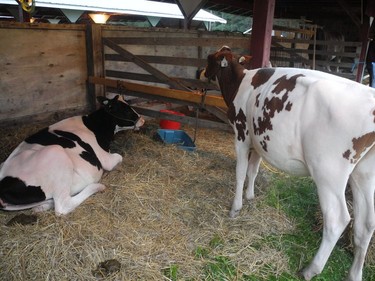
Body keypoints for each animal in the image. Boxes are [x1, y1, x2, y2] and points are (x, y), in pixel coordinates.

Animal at [0, 95, 144, 215]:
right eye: (125, 110)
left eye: (128, 103)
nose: (142, 119)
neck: (94, 125)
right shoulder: (105, 158)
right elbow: (119, 156)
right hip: (55, 153)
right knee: (62, 206)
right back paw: (97, 187)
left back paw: (41, 207)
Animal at [206, 47, 375, 278]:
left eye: (210, 59)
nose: (202, 73)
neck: (240, 81)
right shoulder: (259, 142)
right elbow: (253, 170)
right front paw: (250, 197)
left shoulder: (242, 135)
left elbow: (240, 172)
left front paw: (235, 208)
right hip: (364, 173)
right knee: (366, 224)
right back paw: (354, 275)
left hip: (328, 172)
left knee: (337, 219)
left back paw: (311, 269)